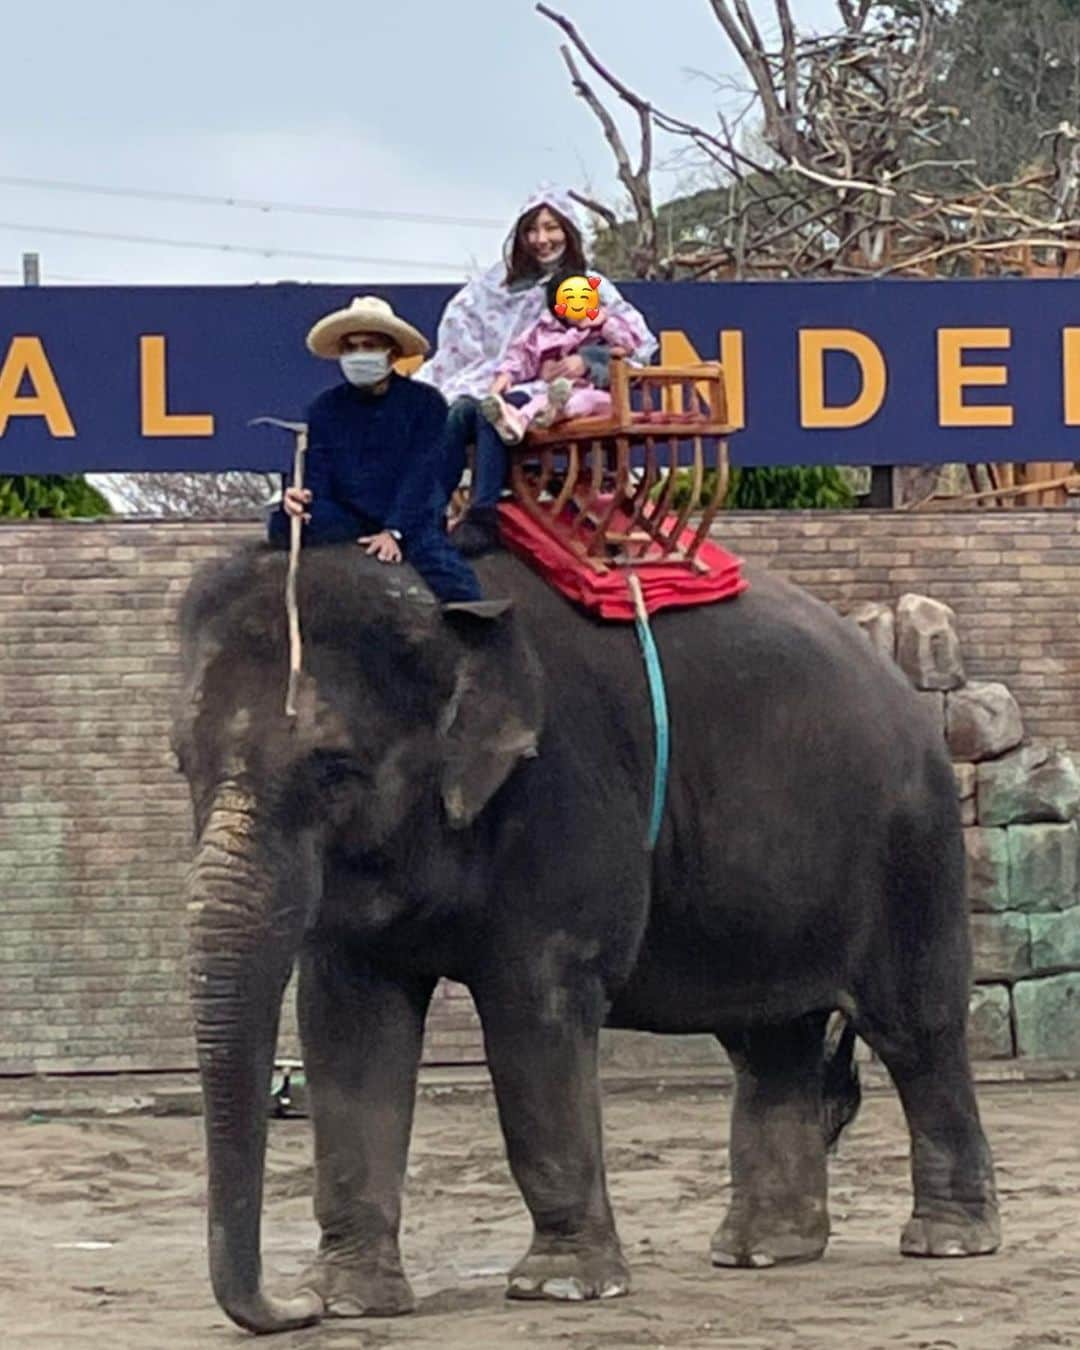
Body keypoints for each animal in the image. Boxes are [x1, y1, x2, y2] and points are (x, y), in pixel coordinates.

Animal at [172, 542, 999, 1333]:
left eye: (336, 770)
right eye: (183, 762)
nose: (290, 1310)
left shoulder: (564, 796)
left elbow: (534, 1010)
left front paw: (560, 1288)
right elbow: (350, 1024)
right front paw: (348, 1301)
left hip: (912, 847)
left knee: (914, 1028)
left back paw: (949, 1241)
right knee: (771, 1043)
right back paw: (761, 1252)